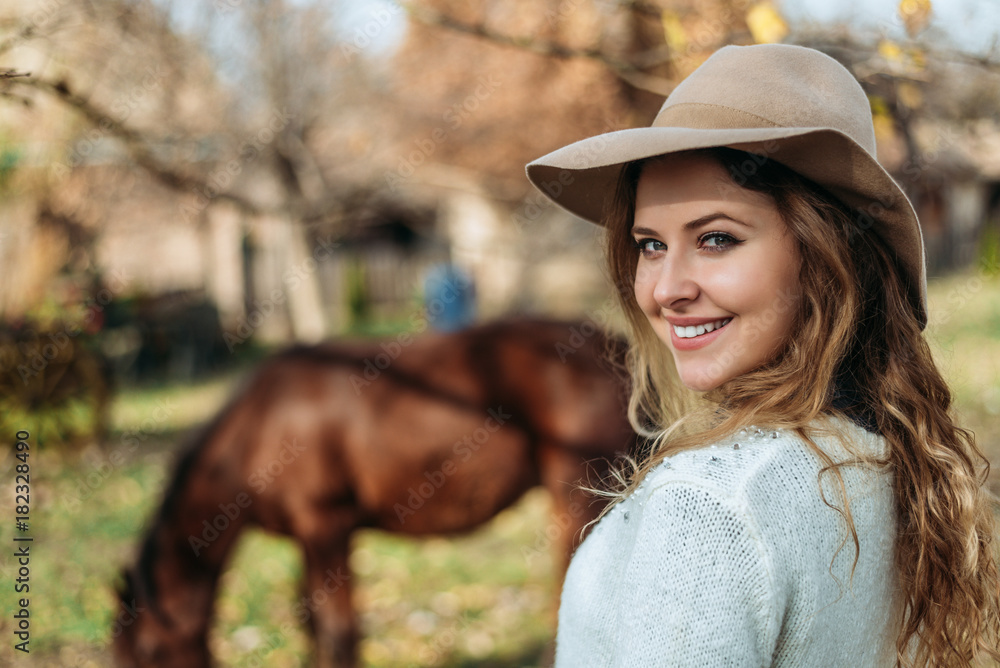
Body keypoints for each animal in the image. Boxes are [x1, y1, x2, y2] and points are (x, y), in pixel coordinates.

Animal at [111, 318, 640, 668]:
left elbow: (338, 630)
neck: (262, 426)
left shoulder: (328, 528)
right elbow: (312, 624)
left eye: (150, 652)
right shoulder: (308, 540)